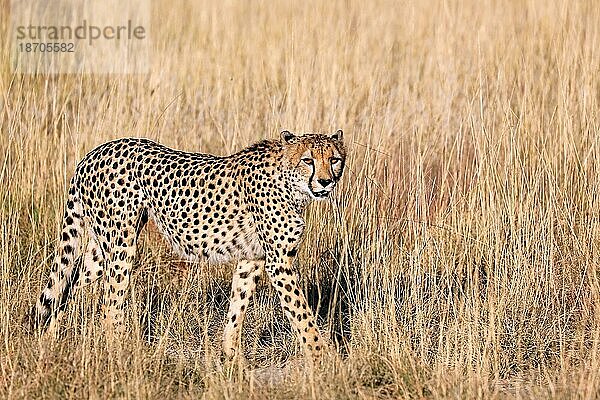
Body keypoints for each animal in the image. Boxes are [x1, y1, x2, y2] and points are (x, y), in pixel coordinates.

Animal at [32, 130, 344, 360]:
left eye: (334, 160)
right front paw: (324, 358)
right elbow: (302, 314)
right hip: (120, 247)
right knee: (110, 306)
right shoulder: (278, 262)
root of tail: (95, 151)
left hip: (102, 249)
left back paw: (49, 339)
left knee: (67, 283)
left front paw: (232, 356)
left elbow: (238, 305)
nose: (326, 182)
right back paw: (122, 352)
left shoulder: (251, 258)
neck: (291, 184)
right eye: (308, 160)